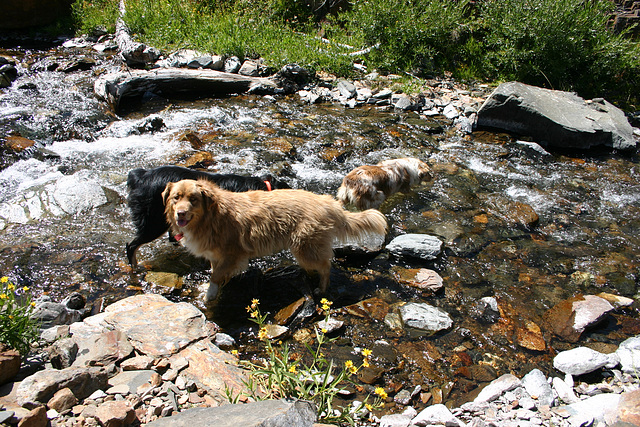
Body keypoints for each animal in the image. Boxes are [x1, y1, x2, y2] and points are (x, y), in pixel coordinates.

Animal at [162, 179, 388, 302]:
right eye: (176, 197)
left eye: (193, 199)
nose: (180, 214)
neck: (212, 216)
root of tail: (329, 203)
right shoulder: (215, 255)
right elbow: (215, 271)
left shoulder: (232, 254)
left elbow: (216, 275)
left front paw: (209, 295)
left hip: (305, 246)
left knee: (326, 266)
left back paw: (321, 288)